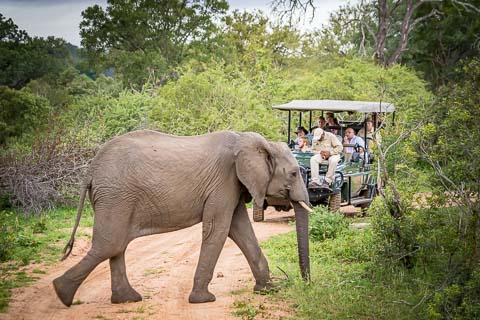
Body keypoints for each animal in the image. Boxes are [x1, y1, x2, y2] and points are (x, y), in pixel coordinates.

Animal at [53, 130, 312, 308]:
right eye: (294, 173)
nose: (304, 284)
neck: (254, 141)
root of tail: (90, 169)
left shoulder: (234, 186)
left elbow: (239, 230)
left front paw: (268, 290)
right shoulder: (224, 182)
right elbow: (218, 230)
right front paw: (204, 300)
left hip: (114, 197)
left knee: (116, 245)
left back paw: (126, 300)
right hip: (115, 196)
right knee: (111, 244)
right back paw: (62, 294)